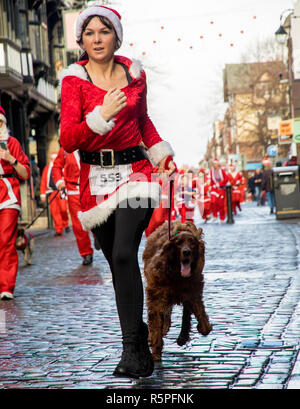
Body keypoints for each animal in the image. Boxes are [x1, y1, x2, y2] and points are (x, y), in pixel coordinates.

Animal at [142, 220, 211, 360]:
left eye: (192, 242)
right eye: (178, 243)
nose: (186, 252)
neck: (177, 276)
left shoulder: (193, 292)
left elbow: (201, 321)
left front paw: (198, 329)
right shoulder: (157, 294)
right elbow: (156, 323)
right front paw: (155, 350)